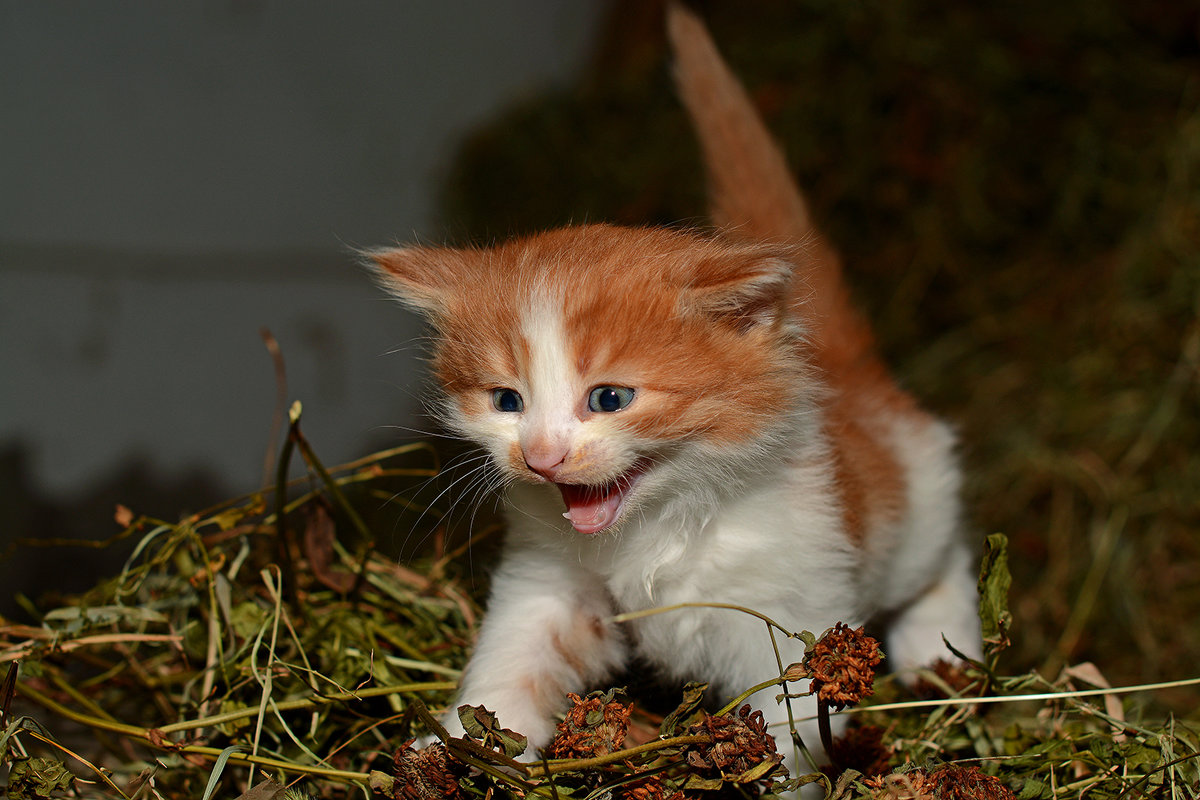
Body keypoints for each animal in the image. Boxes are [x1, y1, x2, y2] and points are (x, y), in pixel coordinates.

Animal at [369, 0, 979, 777]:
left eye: (609, 399)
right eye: (506, 401)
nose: (540, 457)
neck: (654, 532)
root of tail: (846, 372)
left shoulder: (786, 615)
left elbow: (789, 733)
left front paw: (776, 778)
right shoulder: (548, 580)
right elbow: (509, 666)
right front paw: (452, 752)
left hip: (912, 513)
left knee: (946, 549)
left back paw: (940, 652)